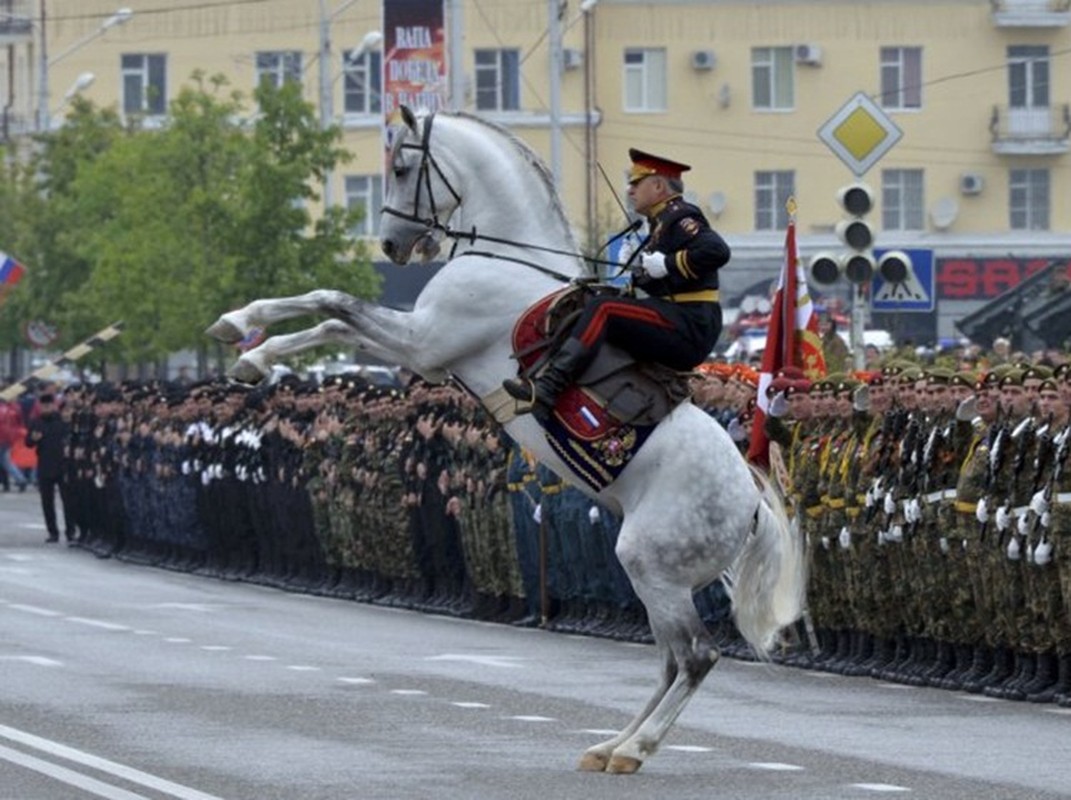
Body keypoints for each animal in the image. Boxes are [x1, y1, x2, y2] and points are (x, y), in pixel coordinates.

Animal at [206, 106, 805, 775]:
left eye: (401, 166)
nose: (391, 245)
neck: (506, 259)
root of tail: (751, 506)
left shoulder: (423, 342)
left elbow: (331, 302)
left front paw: (246, 337)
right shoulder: (423, 347)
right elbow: (332, 314)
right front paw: (246, 341)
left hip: (651, 566)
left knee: (696, 657)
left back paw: (635, 748)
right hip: (657, 580)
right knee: (672, 661)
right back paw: (611, 745)